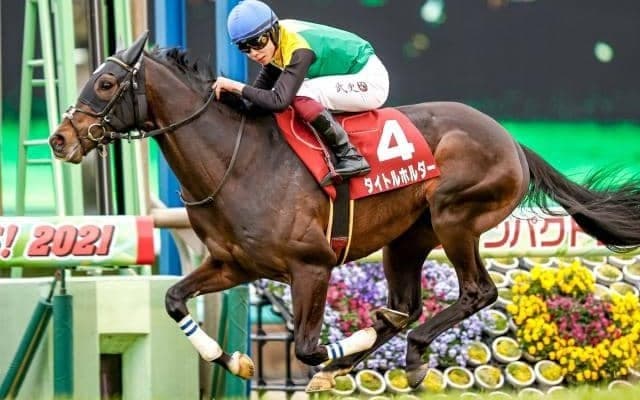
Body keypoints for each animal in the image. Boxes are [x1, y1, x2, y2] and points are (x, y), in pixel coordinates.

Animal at [49, 32, 640, 391]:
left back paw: (407, 353)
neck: (237, 164)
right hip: (407, 238)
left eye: (105, 82)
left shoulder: (312, 266)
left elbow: (308, 346)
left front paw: (335, 354)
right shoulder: (232, 264)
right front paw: (234, 360)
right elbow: (174, 299)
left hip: (455, 217)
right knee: (405, 305)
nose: (59, 139)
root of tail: (511, 140)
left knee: (474, 293)